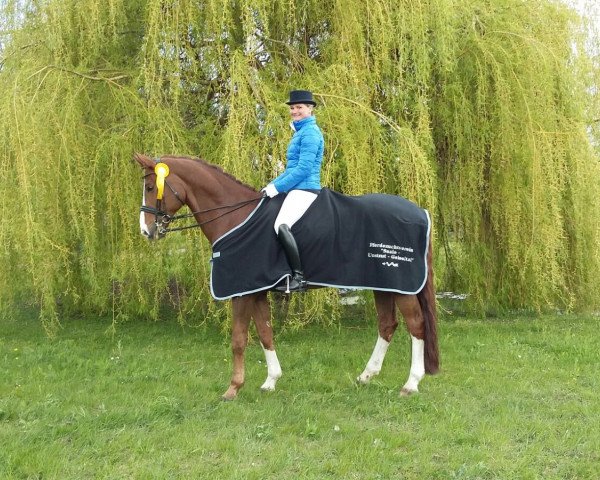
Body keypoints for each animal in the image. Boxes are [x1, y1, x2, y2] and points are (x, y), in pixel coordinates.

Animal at [134, 152, 438, 400]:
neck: (235, 217)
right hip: (383, 285)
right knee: (387, 325)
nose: (147, 231)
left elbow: (238, 339)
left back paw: (411, 384)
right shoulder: (256, 290)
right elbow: (265, 333)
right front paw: (271, 381)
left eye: (150, 187)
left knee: (416, 325)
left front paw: (233, 388)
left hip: (402, 288)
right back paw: (366, 376)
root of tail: (421, 212)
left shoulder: (241, 292)